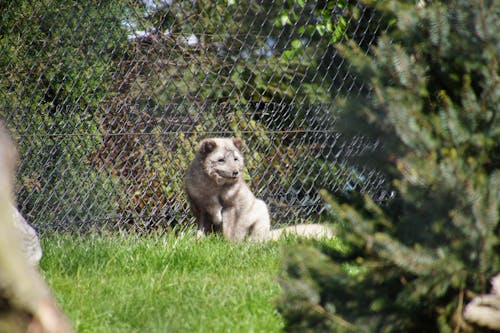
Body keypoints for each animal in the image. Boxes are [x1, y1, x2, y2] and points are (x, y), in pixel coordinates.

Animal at [183, 136, 332, 240]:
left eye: (236, 159)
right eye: (221, 160)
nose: (236, 172)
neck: (214, 188)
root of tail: (269, 236)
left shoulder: (232, 207)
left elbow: (231, 230)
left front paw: (230, 245)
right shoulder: (200, 208)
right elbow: (202, 229)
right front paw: (198, 241)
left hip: (261, 208)